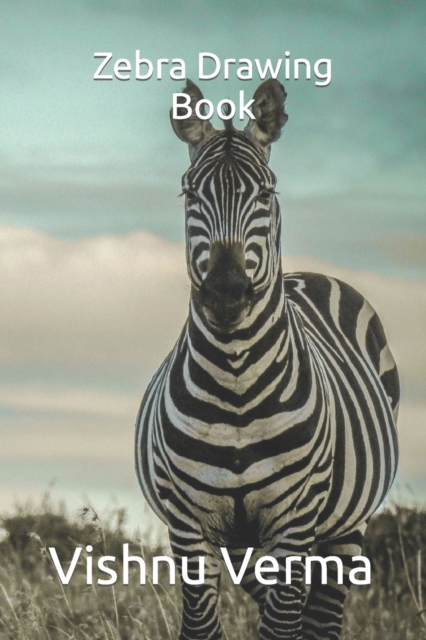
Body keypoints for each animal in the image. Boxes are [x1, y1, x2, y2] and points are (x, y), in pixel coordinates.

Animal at [135, 79, 399, 640]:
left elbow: (283, 626)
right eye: (189, 193)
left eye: (266, 194)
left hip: (346, 525)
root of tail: (307, 275)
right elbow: (203, 627)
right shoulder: (190, 525)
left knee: (320, 619)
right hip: (243, 540)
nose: (227, 292)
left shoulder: (295, 522)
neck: (236, 377)